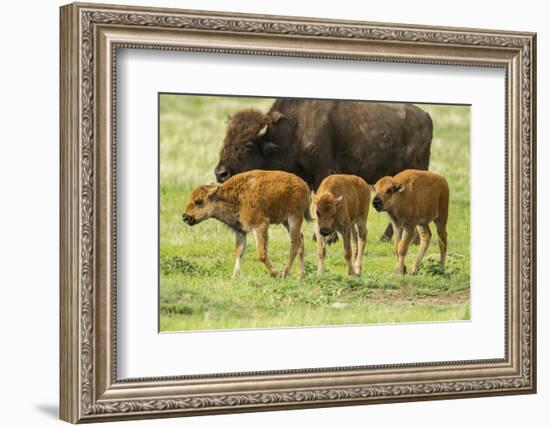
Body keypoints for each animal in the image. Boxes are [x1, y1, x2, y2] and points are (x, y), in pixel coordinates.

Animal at [213, 99, 434, 241]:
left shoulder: (324, 172)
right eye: (225, 140)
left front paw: (327, 237)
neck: (294, 129)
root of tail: (426, 117)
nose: (220, 173)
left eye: (248, 145)